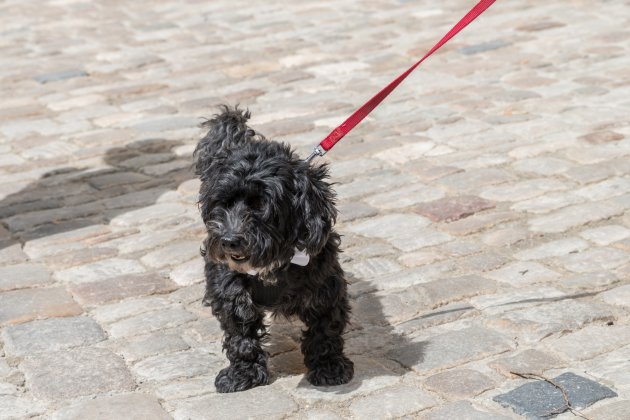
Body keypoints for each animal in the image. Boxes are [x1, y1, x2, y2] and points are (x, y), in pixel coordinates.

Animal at [196, 106, 356, 392]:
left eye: (261, 205)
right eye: (222, 204)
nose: (229, 240)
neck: (273, 262)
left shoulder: (326, 287)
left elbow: (325, 330)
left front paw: (329, 368)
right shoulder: (229, 288)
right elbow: (241, 333)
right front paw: (243, 373)